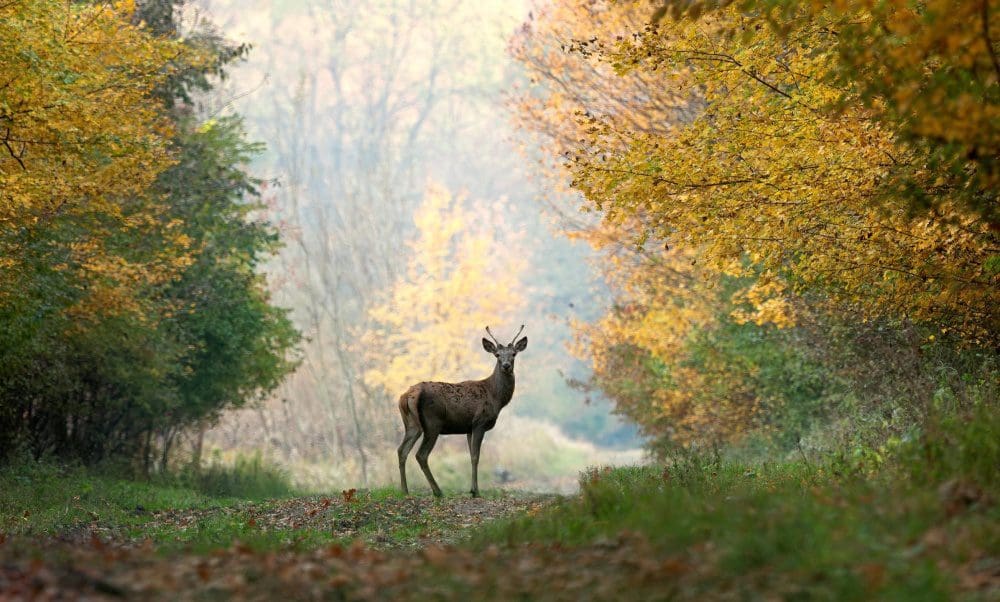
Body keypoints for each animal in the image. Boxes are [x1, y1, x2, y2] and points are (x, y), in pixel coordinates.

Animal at [397, 325, 527, 498]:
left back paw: (405, 490)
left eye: (513, 354)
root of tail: (409, 395)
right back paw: (437, 491)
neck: (496, 397)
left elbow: (471, 456)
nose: (506, 365)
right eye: (497, 355)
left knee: (402, 450)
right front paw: (476, 491)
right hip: (432, 423)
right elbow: (476, 456)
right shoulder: (480, 422)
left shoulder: (468, 428)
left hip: (411, 424)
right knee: (421, 455)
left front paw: (472, 489)